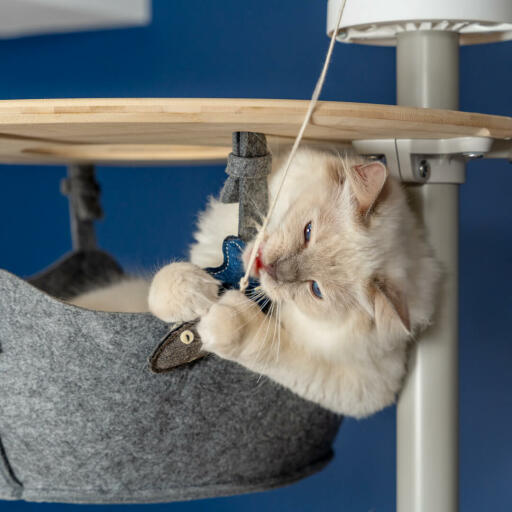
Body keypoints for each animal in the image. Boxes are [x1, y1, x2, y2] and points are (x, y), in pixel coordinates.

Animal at [68, 146, 438, 418]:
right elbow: (165, 283)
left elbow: (268, 346)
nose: (270, 268)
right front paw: (196, 291)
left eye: (315, 290)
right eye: (307, 232)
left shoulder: (365, 387)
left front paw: (221, 320)